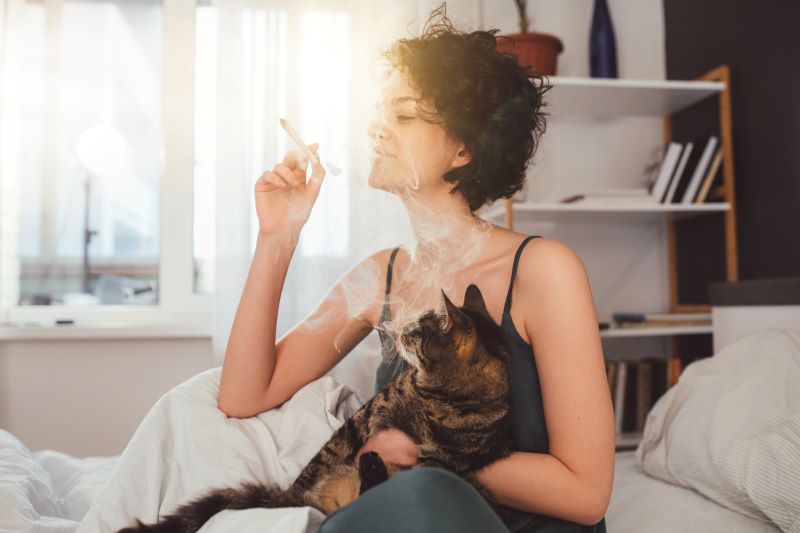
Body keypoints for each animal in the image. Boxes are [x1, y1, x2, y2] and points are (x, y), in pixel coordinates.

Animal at [122, 284, 516, 528]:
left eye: (419, 331)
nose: (401, 329)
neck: (433, 398)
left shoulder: (442, 461)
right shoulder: (362, 419)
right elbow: (317, 462)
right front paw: (290, 495)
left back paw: (371, 468)